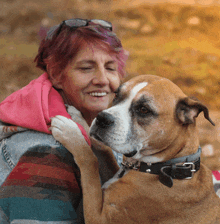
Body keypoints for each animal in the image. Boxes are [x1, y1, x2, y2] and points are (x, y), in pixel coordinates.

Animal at [50, 74, 220, 223]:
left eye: (144, 110)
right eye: (117, 95)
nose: (102, 118)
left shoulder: (99, 218)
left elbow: (90, 160)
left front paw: (70, 132)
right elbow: (104, 150)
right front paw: (78, 119)